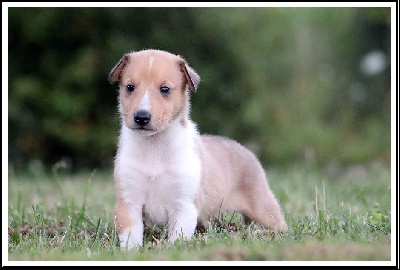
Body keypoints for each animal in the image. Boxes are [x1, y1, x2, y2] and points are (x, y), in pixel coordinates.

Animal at [108, 49, 286, 250]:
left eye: (165, 89)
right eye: (129, 87)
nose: (141, 117)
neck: (154, 146)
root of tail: (246, 151)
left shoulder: (184, 205)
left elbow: (177, 237)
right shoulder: (129, 203)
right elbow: (130, 236)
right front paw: (131, 252)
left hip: (264, 208)